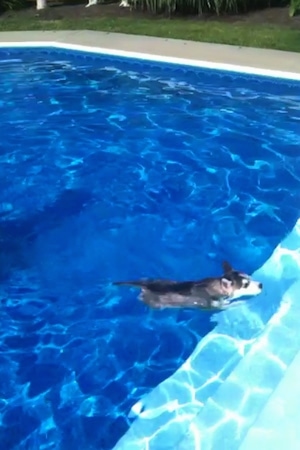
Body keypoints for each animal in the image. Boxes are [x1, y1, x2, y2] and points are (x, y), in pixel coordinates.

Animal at [113, 262, 264, 312]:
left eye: (250, 278)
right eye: (246, 285)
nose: (261, 284)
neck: (218, 284)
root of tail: (147, 285)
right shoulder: (211, 307)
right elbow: (229, 304)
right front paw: (241, 302)